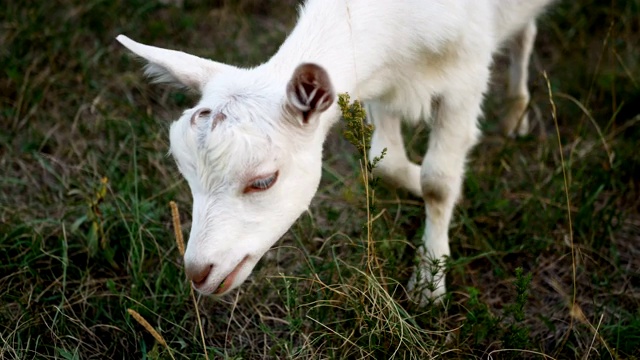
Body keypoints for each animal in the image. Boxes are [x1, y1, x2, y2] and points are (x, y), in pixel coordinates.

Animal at [117, 0, 552, 304]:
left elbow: (439, 182)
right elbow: (388, 162)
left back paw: (515, 111)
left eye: (263, 180)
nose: (197, 272)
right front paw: (420, 180)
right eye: (187, 175)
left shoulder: (466, 77)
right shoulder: (381, 82)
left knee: (526, 32)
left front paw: (429, 282)